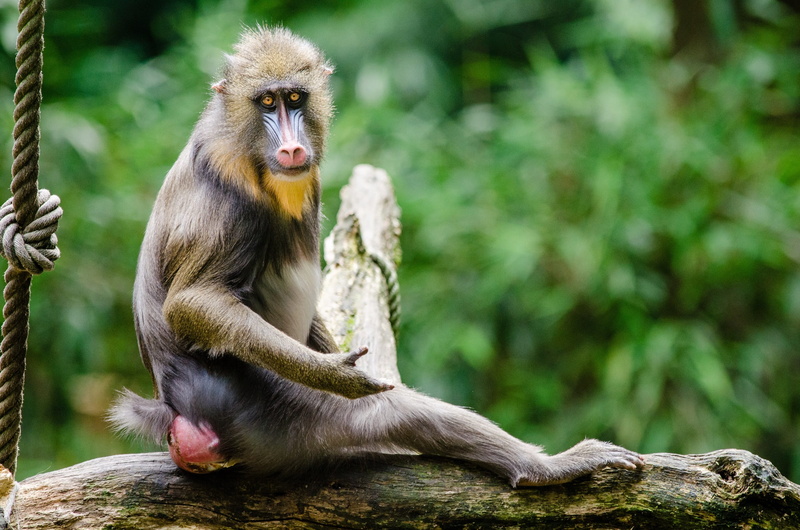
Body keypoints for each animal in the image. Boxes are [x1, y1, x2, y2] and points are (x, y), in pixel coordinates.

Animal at [110, 26, 644, 486]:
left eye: (295, 98)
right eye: (265, 101)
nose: (291, 147)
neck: (252, 153)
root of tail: (175, 413)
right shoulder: (226, 192)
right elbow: (194, 302)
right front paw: (334, 374)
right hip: (267, 415)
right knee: (393, 412)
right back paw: (542, 469)